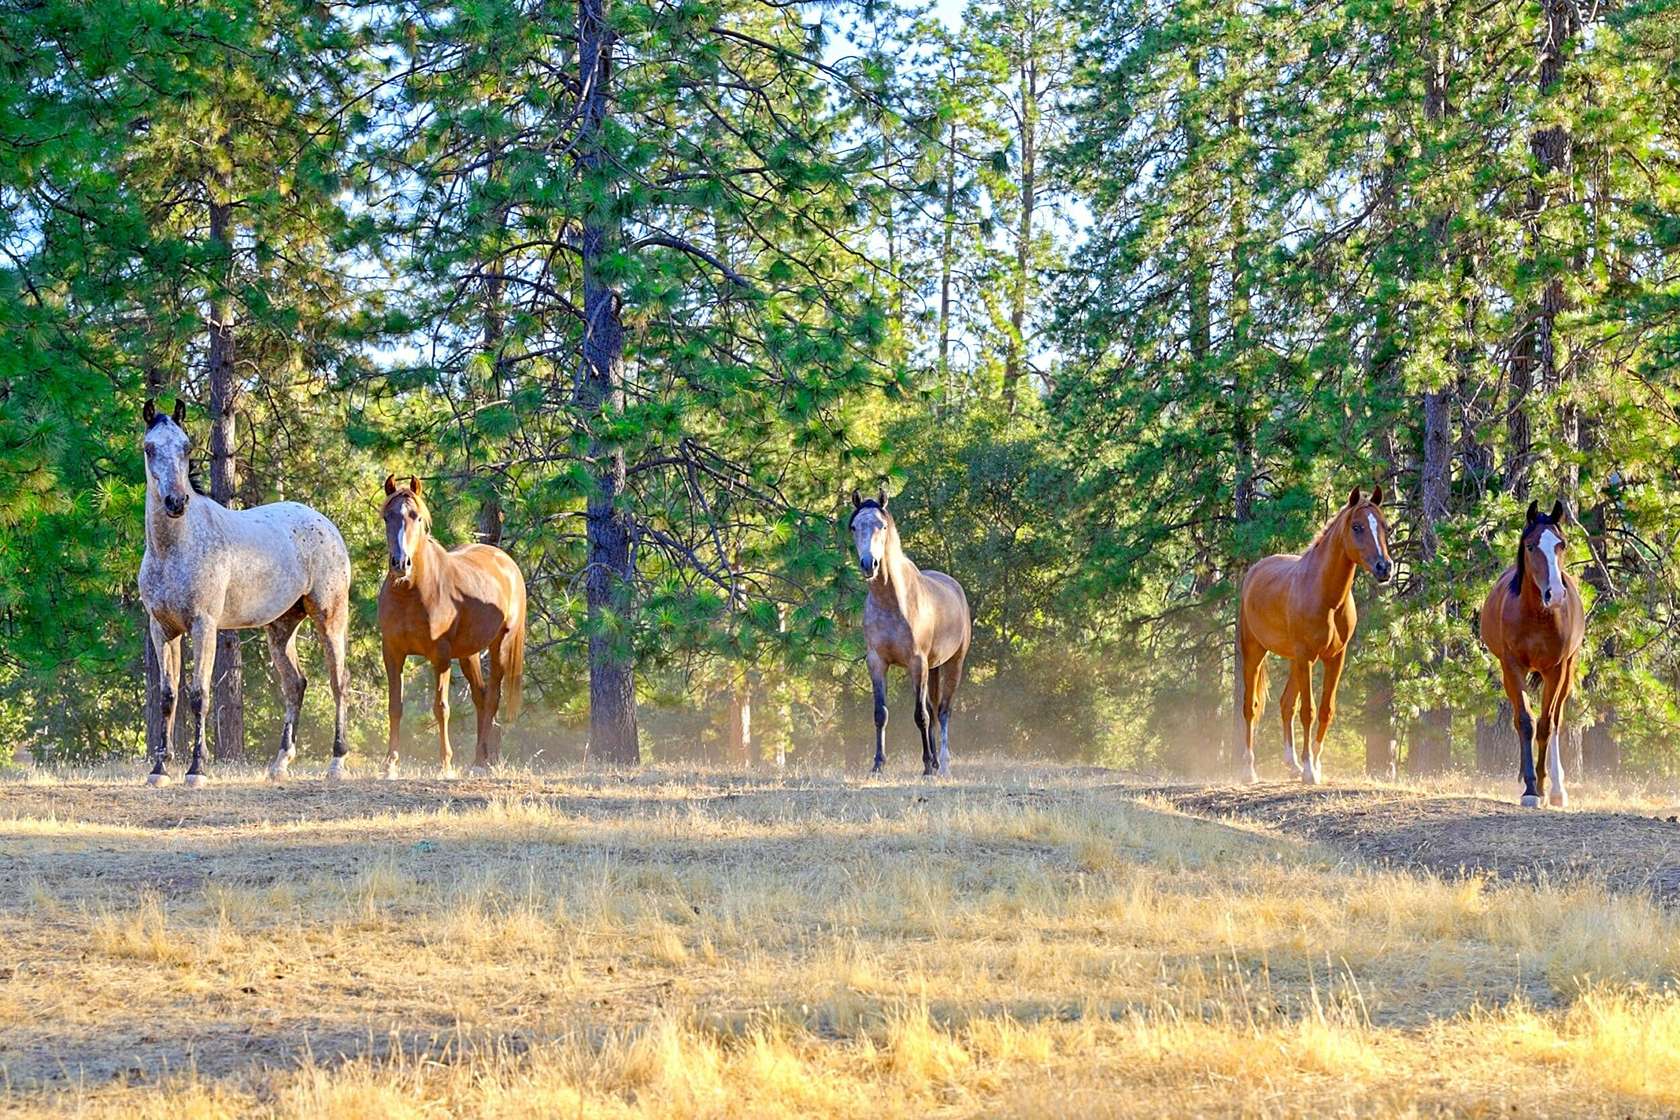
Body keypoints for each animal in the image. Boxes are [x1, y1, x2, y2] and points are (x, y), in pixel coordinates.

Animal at [379, 473, 524, 779]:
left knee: (492, 698)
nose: (400, 563)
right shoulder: (392, 653)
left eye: (416, 516)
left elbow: (441, 708)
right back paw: (480, 759)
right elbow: (395, 706)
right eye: (387, 516)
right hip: (469, 654)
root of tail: (507, 563)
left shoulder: (441, 656)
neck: (411, 593)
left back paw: (479, 763)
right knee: (480, 697)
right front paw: (390, 764)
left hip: (500, 646)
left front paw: (445, 764)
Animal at [846, 490, 981, 779]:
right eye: (854, 527)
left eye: (882, 526)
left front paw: (927, 766)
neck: (893, 602)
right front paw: (878, 765)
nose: (869, 564)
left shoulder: (916, 663)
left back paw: (943, 764)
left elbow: (921, 715)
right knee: (933, 708)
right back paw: (936, 763)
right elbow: (881, 713)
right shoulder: (876, 662)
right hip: (933, 667)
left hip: (953, 664)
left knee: (943, 711)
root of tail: (954, 586)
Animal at [1236, 486, 1391, 785]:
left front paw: (1315, 765)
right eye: (1357, 526)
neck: (1325, 596)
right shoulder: (1306, 656)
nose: (1384, 567)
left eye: (1385, 526)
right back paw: (1249, 770)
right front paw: (1309, 771)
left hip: (1294, 661)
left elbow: (1325, 710)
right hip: (1255, 652)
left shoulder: (1335, 658)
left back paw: (1292, 764)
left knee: (1286, 704)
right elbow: (1307, 711)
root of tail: (1255, 570)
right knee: (1251, 706)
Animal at [1478, 503, 1579, 809]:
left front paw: (1543, 787)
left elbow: (1546, 724)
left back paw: (1557, 789)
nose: (1555, 594)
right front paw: (1531, 789)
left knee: (1556, 720)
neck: (1535, 615)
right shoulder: (1512, 667)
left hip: (1568, 672)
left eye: (1561, 544)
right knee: (1519, 718)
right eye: (1531, 546)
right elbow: (1525, 722)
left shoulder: (1556, 670)